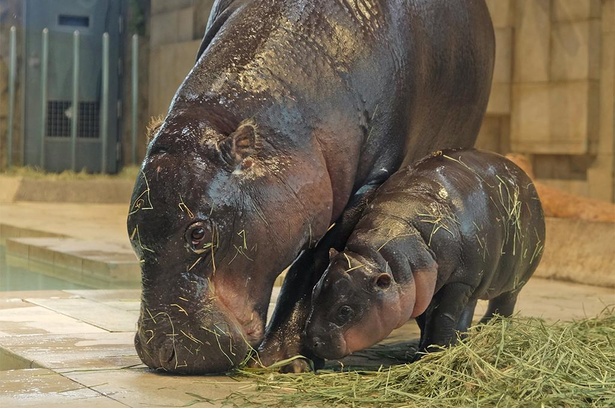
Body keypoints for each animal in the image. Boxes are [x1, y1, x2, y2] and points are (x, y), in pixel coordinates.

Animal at [126, 0, 496, 372]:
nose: (159, 351)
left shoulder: (369, 185)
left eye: (198, 233)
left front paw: (283, 358)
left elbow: (313, 261)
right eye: (132, 231)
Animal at [306, 148, 548, 358]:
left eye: (345, 310)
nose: (311, 342)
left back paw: (489, 329)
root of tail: (524, 176)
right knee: (470, 309)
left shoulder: (458, 281)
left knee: (503, 303)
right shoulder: (422, 289)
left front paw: (436, 352)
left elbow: (443, 316)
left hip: (512, 279)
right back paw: (466, 337)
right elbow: (426, 320)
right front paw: (425, 350)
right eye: (314, 291)